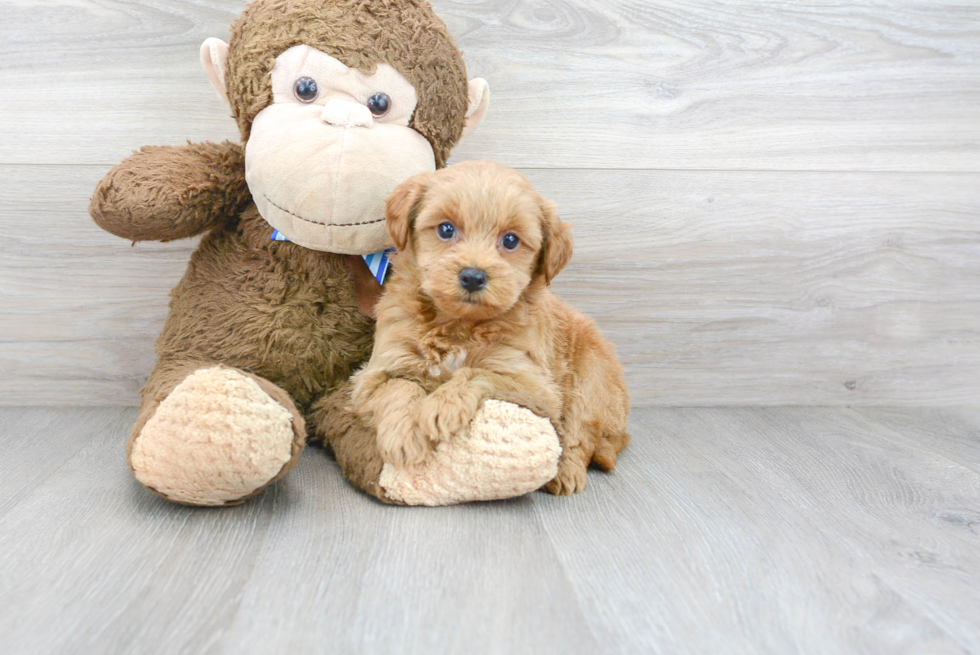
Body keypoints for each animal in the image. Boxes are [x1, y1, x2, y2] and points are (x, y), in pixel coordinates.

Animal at [352, 160, 628, 498]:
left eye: (510, 240)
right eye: (446, 229)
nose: (473, 276)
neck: (457, 324)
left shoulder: (532, 382)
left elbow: (476, 372)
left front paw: (441, 406)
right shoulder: (376, 371)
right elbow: (399, 387)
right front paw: (404, 435)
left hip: (592, 382)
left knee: (581, 434)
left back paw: (566, 473)